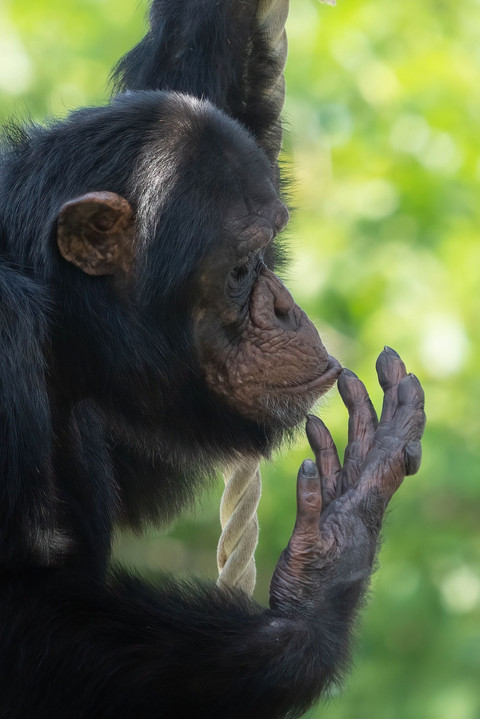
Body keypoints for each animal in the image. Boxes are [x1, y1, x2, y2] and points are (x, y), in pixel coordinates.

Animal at [0, 1, 426, 719]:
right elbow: (21, 618)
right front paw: (328, 559)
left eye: (269, 247)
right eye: (240, 266)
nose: (283, 306)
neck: (58, 313)